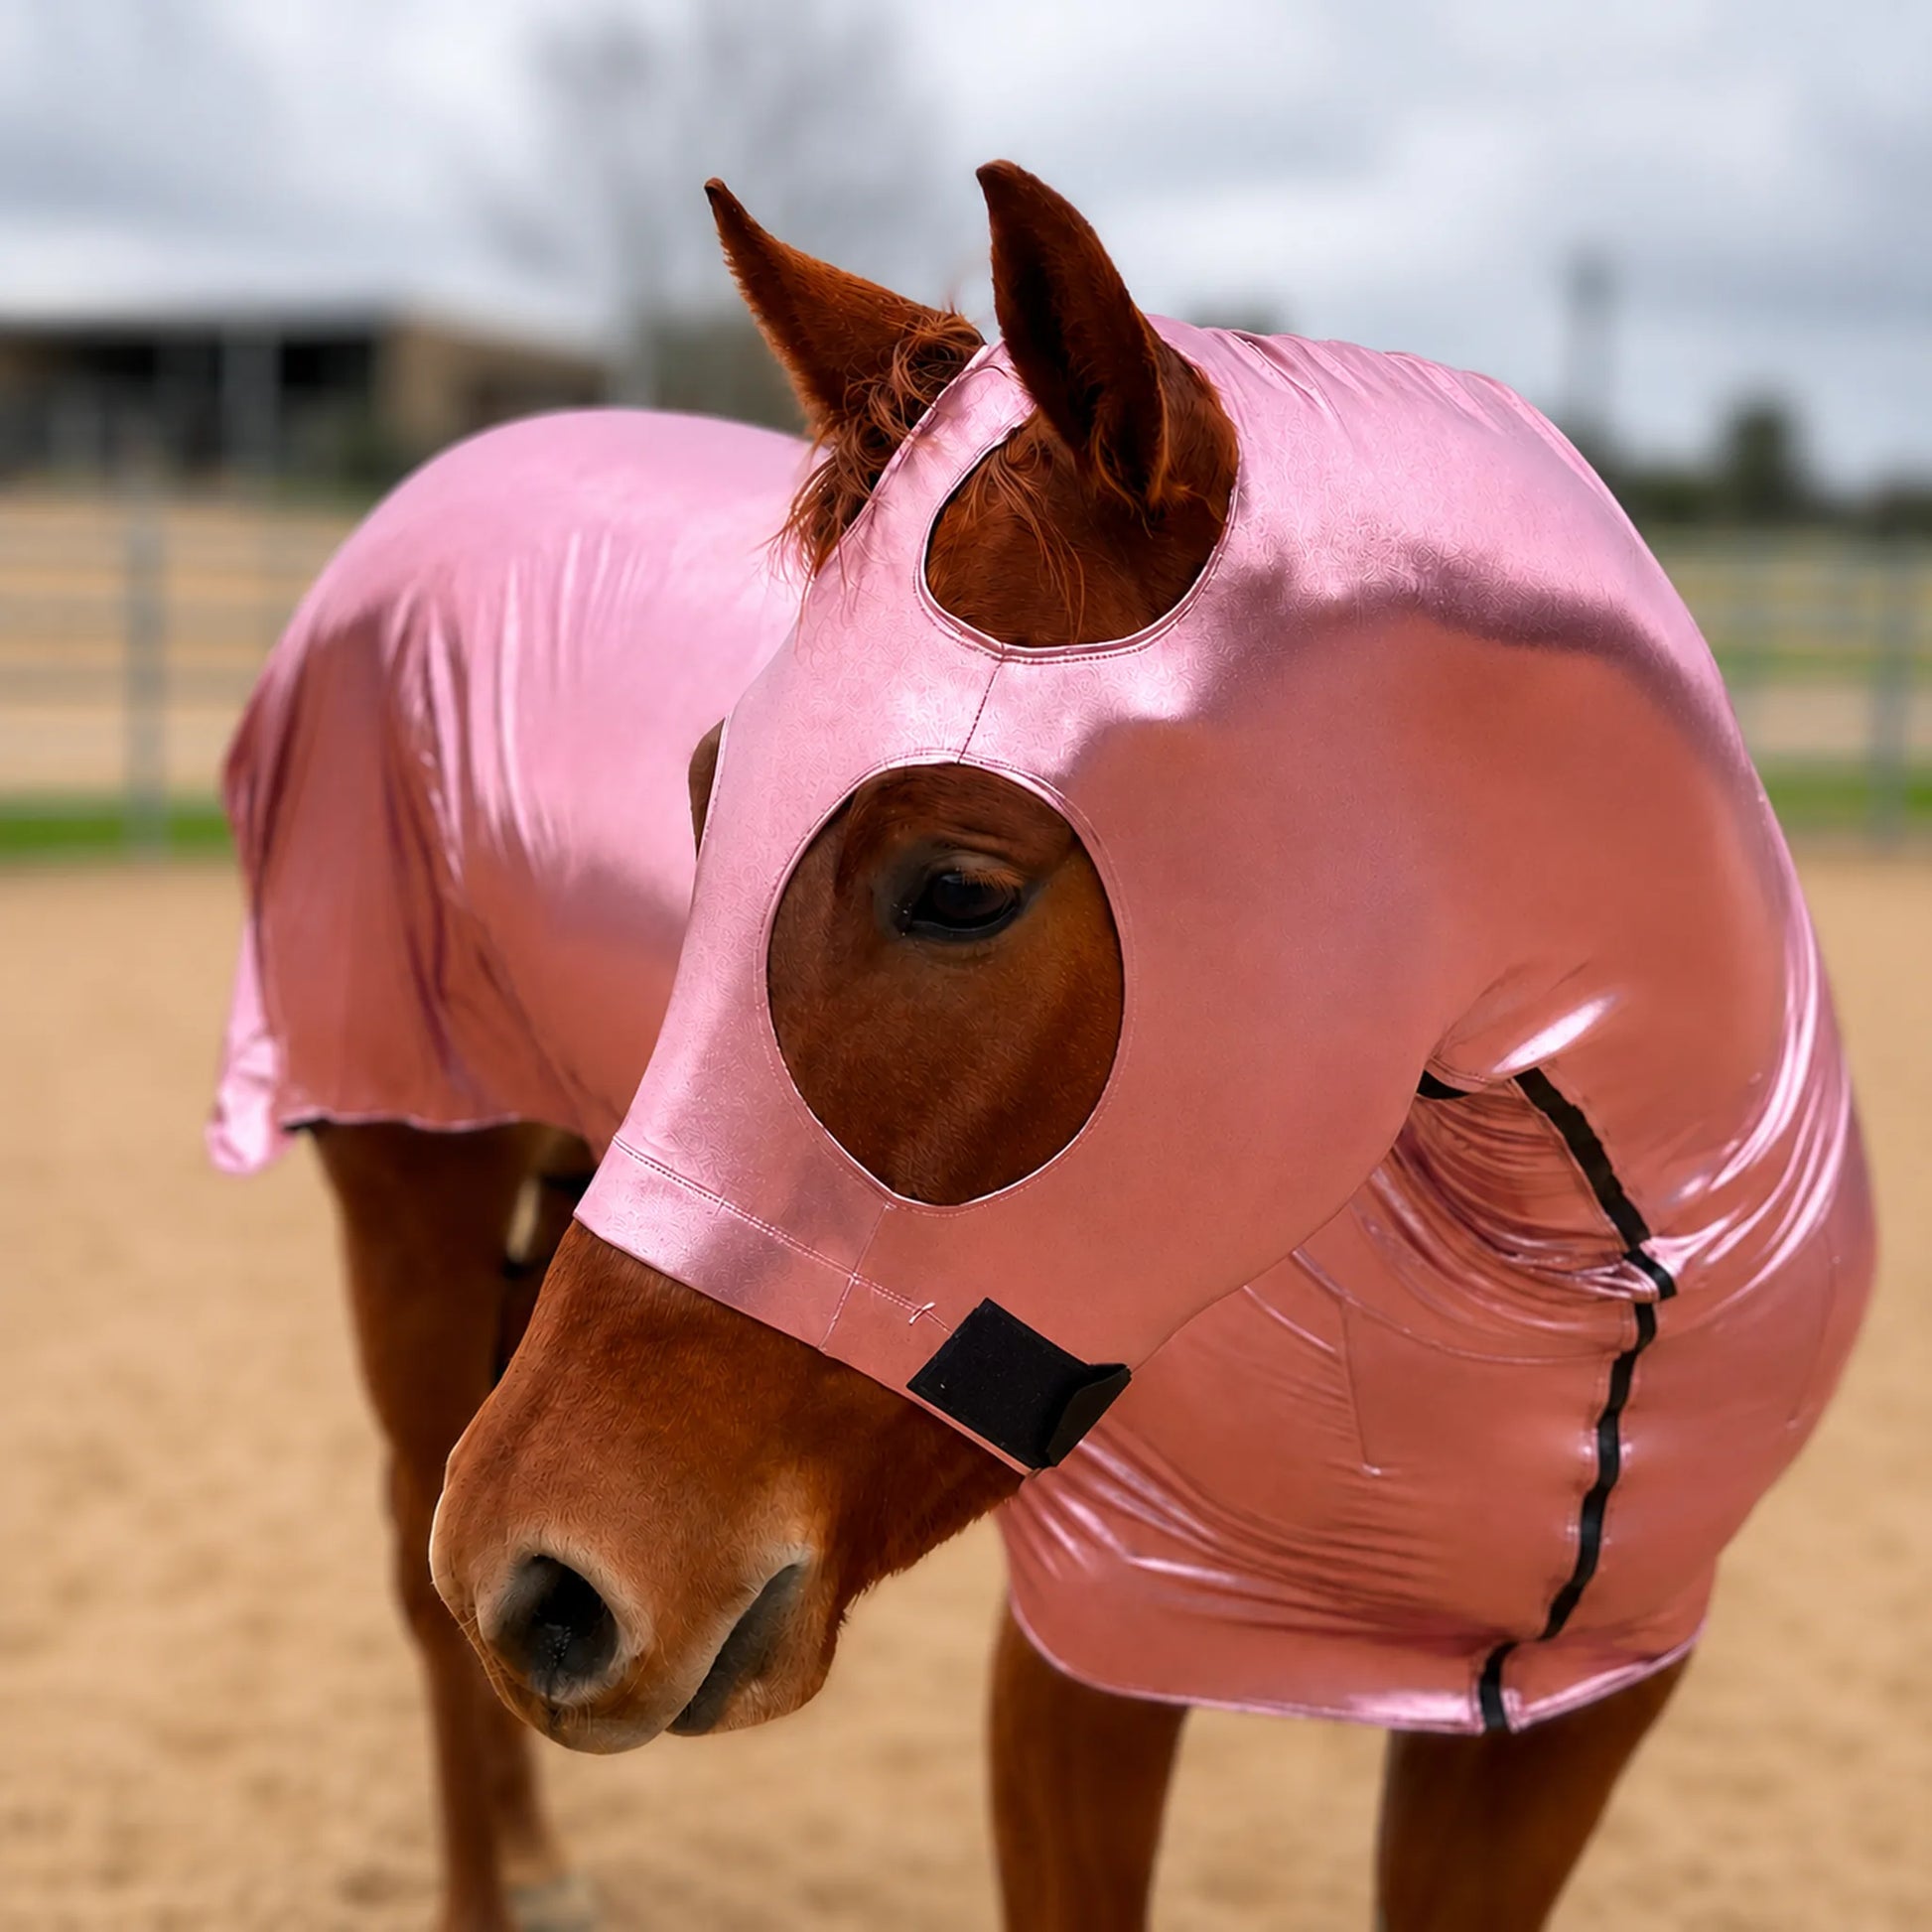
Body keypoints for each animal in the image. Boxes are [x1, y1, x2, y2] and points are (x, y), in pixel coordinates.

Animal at [217, 165, 1872, 1930]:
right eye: (703, 791)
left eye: (958, 886)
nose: (544, 1577)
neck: (1593, 1285)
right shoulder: (1091, 1647)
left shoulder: (1579, 1701)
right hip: (415, 1186)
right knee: (412, 1572)